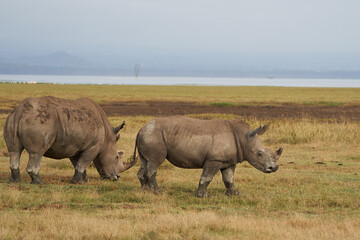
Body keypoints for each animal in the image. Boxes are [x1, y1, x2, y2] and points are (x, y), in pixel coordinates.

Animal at [3, 95, 137, 184]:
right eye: (117, 157)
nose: (117, 177)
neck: (108, 139)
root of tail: (21, 110)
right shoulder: (93, 146)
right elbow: (83, 163)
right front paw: (78, 182)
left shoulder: (75, 147)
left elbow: (78, 163)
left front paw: (84, 180)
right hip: (41, 121)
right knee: (36, 152)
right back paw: (39, 183)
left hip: (12, 118)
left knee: (14, 150)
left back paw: (15, 182)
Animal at [135, 116, 284, 197]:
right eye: (259, 154)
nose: (274, 168)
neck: (243, 138)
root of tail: (141, 128)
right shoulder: (214, 160)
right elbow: (207, 177)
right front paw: (203, 196)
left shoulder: (229, 161)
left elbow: (229, 178)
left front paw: (234, 194)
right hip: (154, 135)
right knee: (154, 163)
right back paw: (157, 192)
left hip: (149, 135)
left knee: (145, 162)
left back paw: (145, 191)